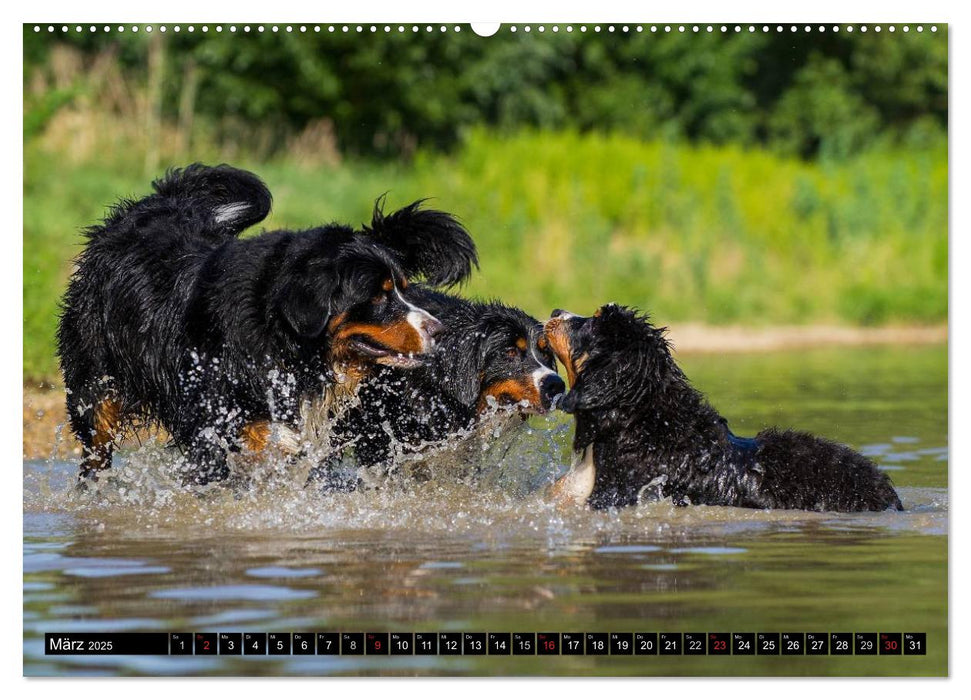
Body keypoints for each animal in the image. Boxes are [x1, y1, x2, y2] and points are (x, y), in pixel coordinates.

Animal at [56, 163, 474, 486]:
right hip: (96, 387)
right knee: (96, 447)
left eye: (403, 288)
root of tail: (162, 203)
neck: (284, 341)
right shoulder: (213, 423)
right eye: (377, 296)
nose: (438, 330)